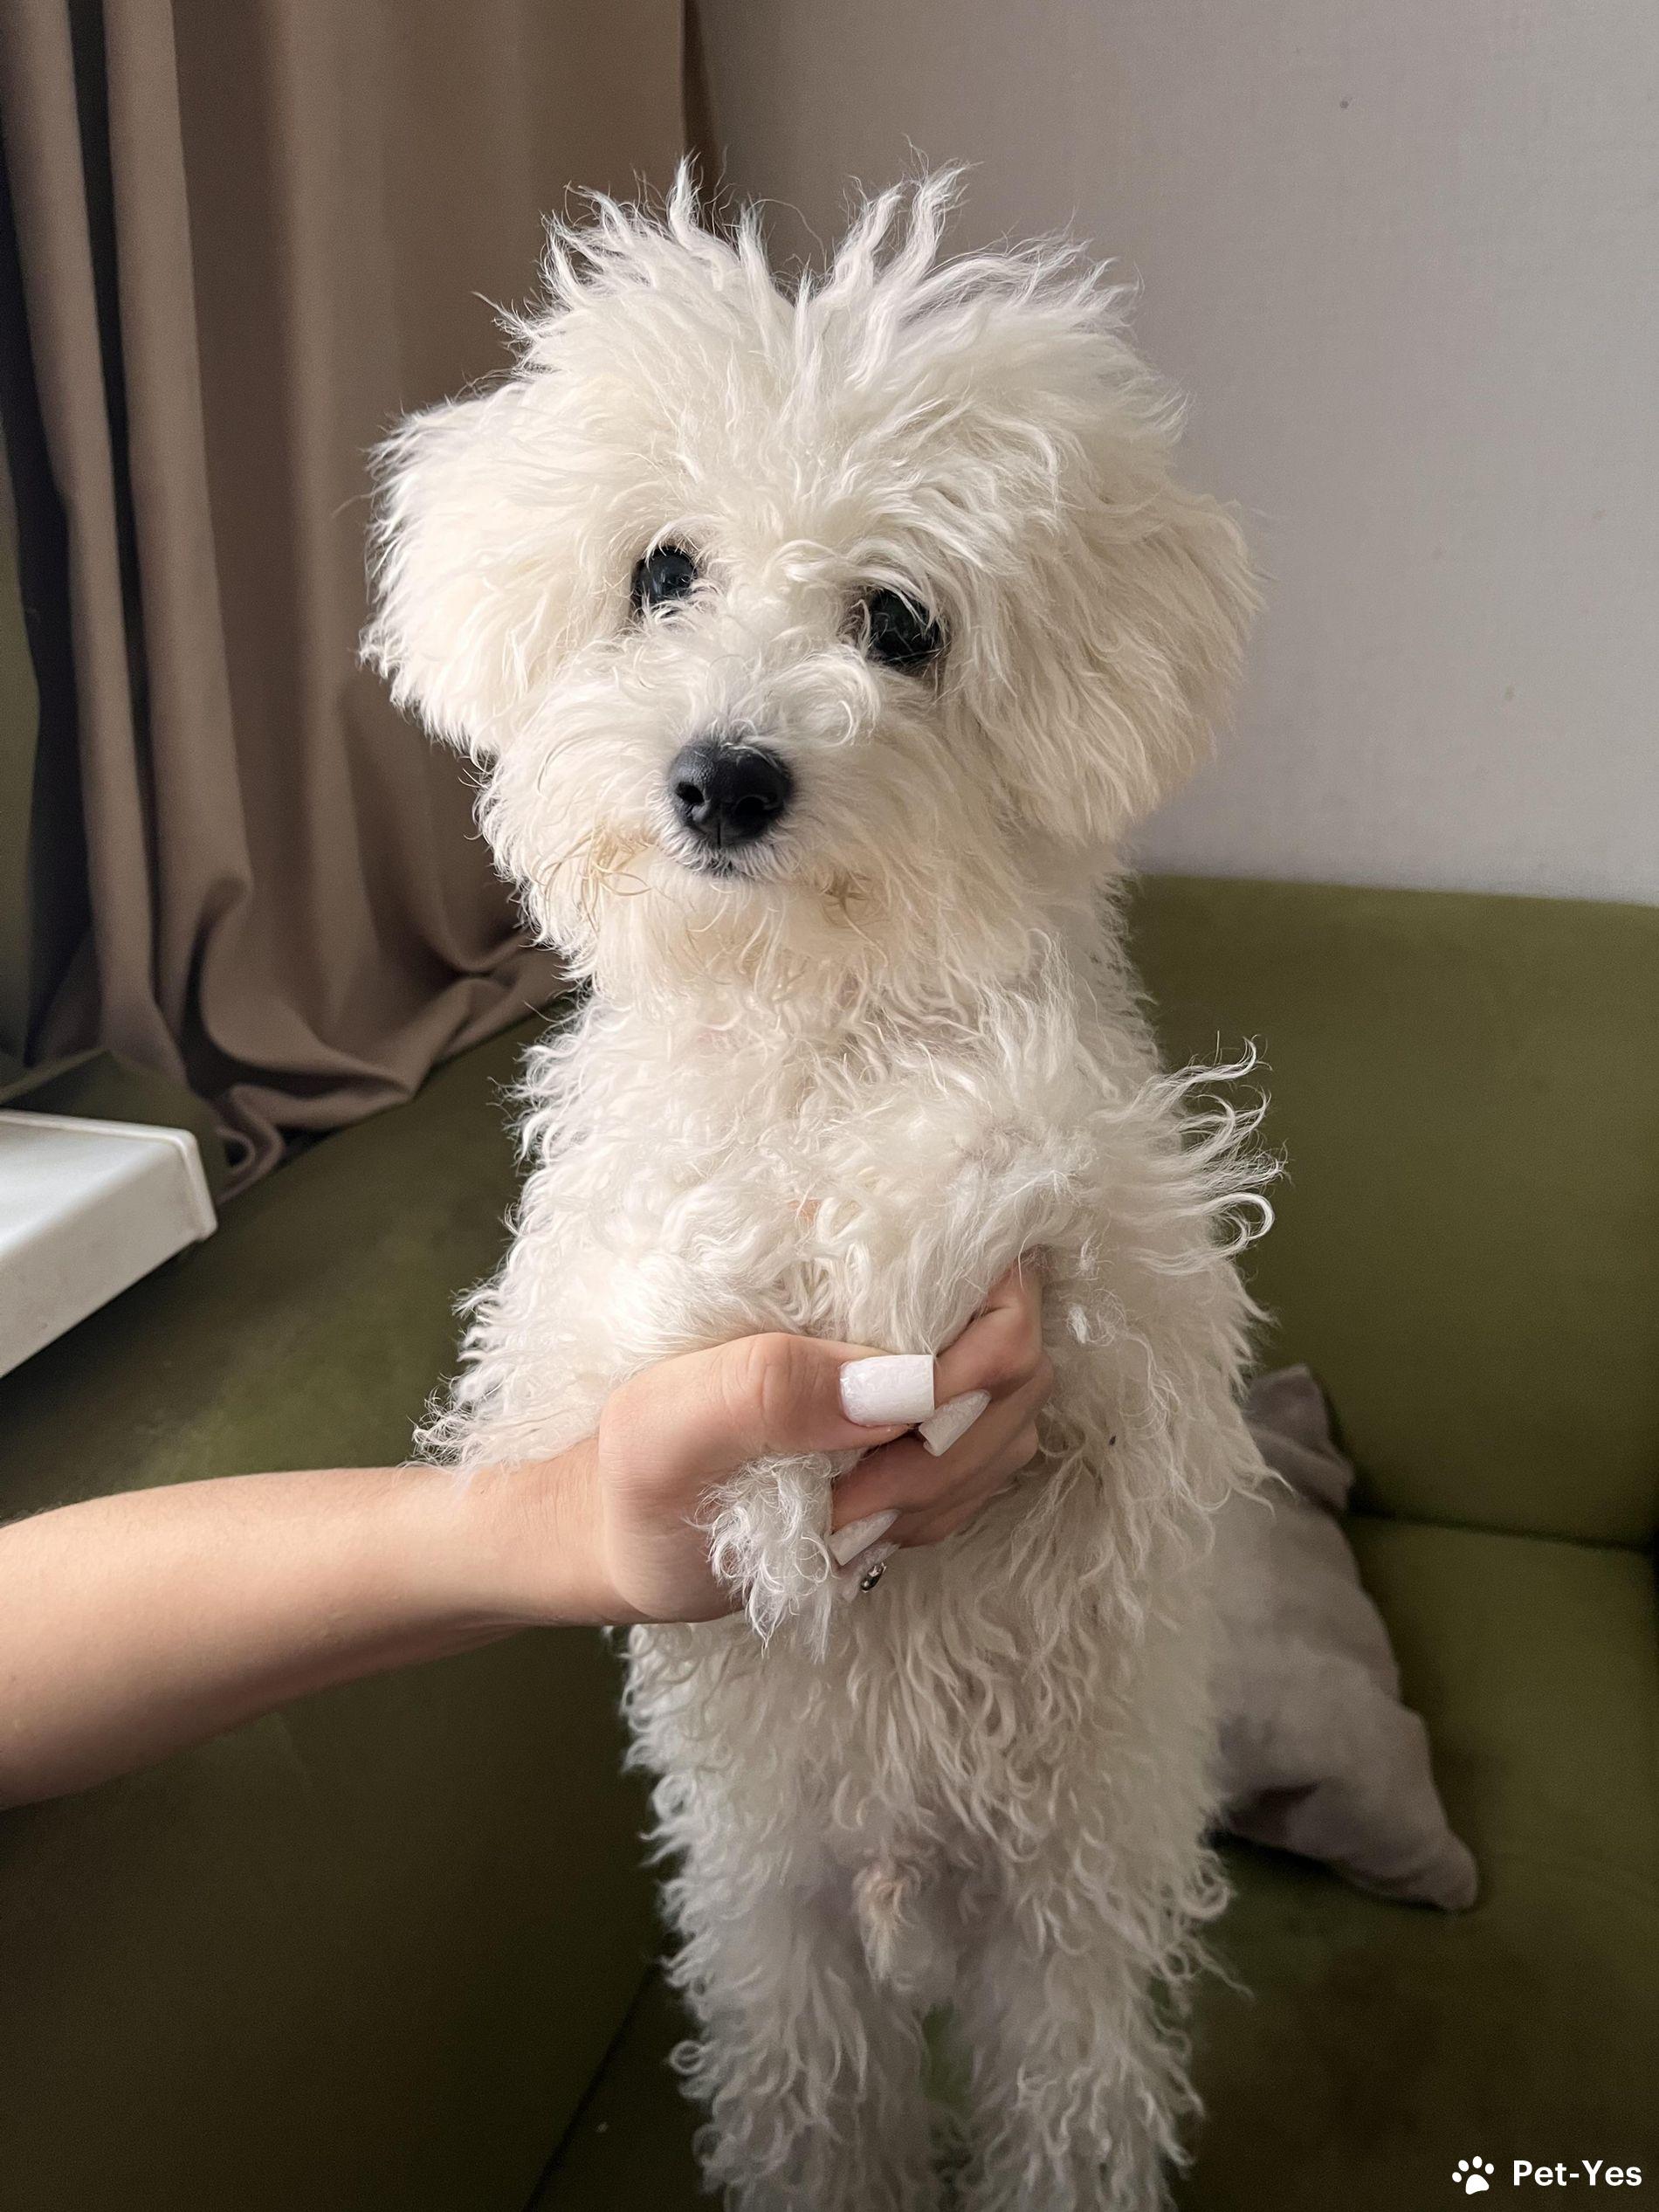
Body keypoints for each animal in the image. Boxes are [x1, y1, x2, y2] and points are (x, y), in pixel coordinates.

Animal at [366, 169, 1269, 2212]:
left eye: (899, 623)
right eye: (661, 572)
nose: (724, 778)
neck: (806, 1011)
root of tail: (910, 1881)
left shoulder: (1143, 1313)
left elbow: (1025, 1168)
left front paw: (892, 1242)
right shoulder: (557, 1328)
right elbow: (644, 1289)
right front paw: (776, 1472)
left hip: (1060, 1957)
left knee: (1067, 2104)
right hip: (781, 1958)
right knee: (815, 2104)